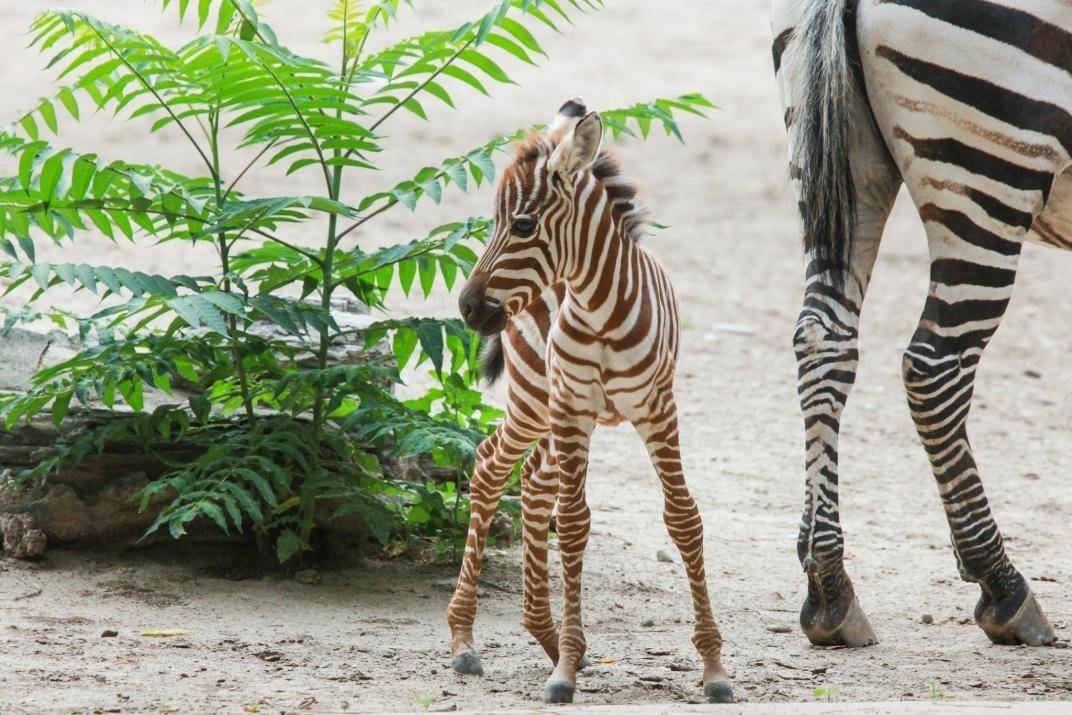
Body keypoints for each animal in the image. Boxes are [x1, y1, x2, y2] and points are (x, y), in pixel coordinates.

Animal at [439, 96, 733, 703]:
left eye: (523, 224)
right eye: (494, 223)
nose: (468, 309)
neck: (599, 307)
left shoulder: (657, 407)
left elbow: (683, 517)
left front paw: (714, 667)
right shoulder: (572, 404)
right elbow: (574, 523)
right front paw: (566, 671)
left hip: (560, 415)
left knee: (532, 481)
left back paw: (544, 635)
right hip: (537, 401)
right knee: (491, 467)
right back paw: (465, 639)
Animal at [776, 0, 1067, 647]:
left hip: (840, 163)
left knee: (823, 337)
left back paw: (828, 587)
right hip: (990, 162)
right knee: (935, 367)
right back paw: (1002, 586)